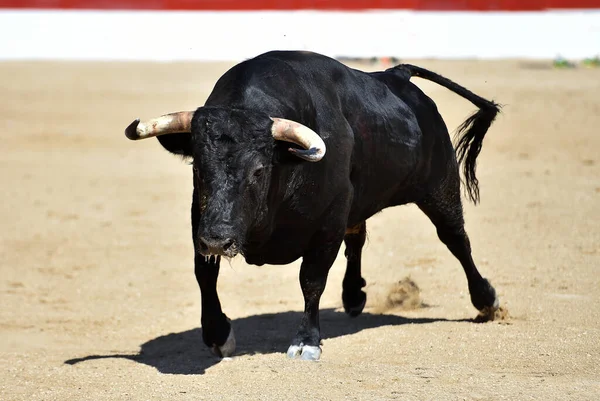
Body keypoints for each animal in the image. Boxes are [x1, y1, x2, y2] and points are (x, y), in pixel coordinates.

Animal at [123, 50, 502, 360]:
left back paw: (487, 301)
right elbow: (205, 274)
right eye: (198, 168)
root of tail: (397, 75)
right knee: (358, 237)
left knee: (455, 238)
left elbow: (312, 279)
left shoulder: (328, 222)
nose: (218, 240)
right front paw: (218, 335)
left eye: (259, 170)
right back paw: (353, 295)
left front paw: (306, 342)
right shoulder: (200, 218)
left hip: (439, 185)